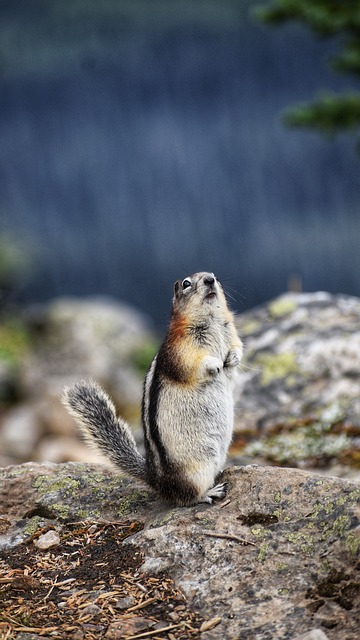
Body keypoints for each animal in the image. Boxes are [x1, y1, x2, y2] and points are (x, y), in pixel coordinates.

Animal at [62, 272, 242, 508]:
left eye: (215, 276)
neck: (211, 319)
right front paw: (216, 365)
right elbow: (194, 364)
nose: (210, 280)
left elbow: (238, 347)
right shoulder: (180, 349)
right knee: (186, 497)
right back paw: (210, 492)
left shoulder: (232, 334)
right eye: (186, 283)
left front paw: (232, 359)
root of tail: (155, 479)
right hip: (195, 472)